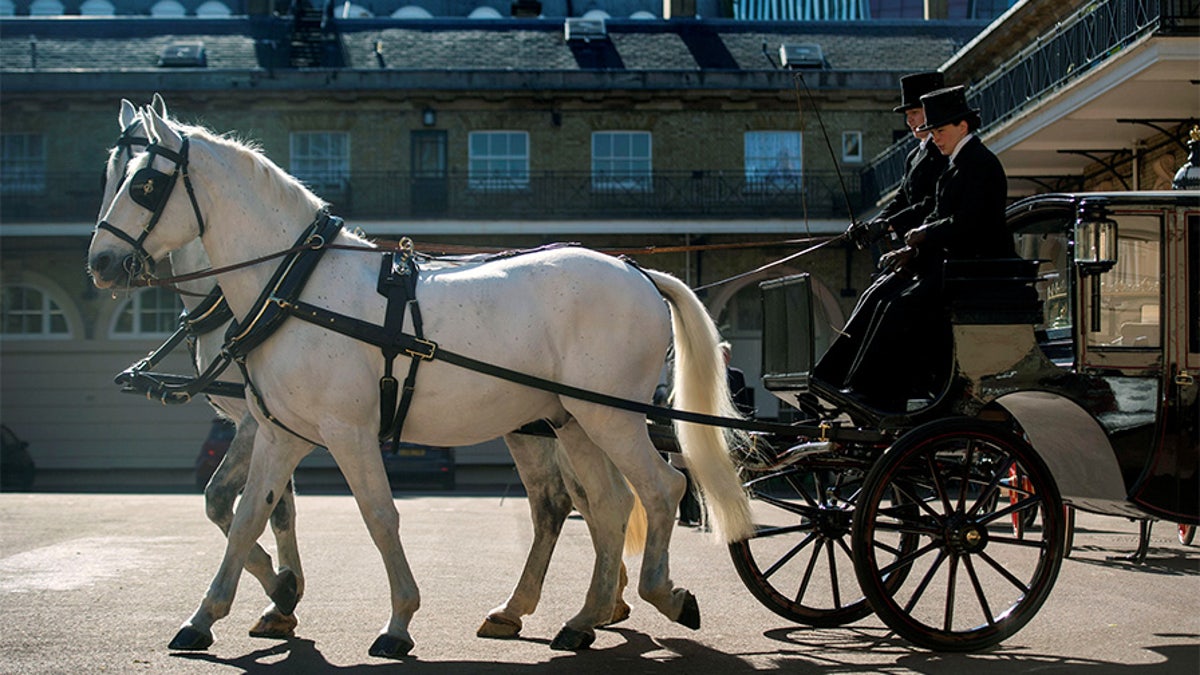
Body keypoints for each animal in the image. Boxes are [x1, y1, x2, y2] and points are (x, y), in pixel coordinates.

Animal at [88, 103, 748, 658]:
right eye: (110, 175)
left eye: (144, 185)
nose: (101, 264)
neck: (297, 286)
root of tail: (637, 271)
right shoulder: (280, 432)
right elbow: (249, 513)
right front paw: (215, 613)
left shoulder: (345, 431)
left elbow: (379, 516)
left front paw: (397, 620)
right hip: (572, 420)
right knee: (605, 507)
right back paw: (582, 617)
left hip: (611, 416)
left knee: (660, 490)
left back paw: (662, 593)